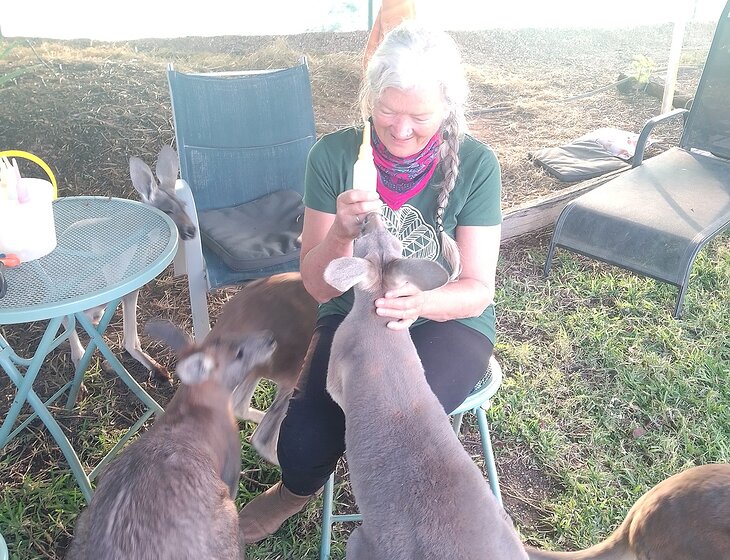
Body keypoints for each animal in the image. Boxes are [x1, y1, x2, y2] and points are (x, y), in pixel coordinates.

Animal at [323, 211, 528, 560]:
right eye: (390, 236)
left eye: (362, 235)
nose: (371, 215)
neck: (377, 322)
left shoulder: (339, 358)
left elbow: (334, 391)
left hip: (363, 542)